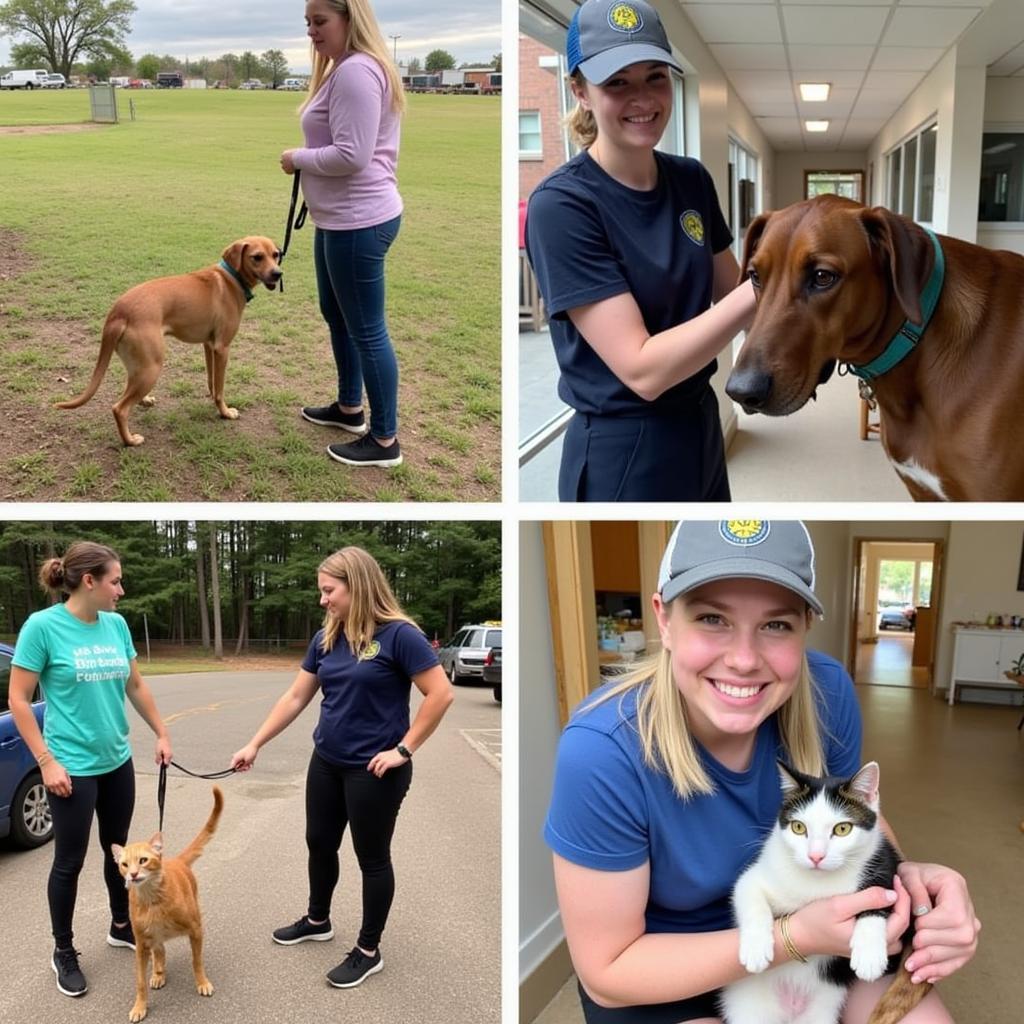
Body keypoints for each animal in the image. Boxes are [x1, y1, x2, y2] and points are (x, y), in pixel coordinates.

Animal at [58, 241, 282, 450]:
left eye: (276, 255)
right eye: (257, 257)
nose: (278, 273)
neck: (231, 278)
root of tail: (118, 312)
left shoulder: (209, 346)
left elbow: (212, 381)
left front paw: (213, 401)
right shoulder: (222, 348)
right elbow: (220, 389)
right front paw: (225, 412)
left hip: (140, 365)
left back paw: (144, 400)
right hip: (152, 366)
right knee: (120, 408)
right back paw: (130, 440)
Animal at [111, 786, 223, 1019]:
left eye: (143, 860)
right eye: (124, 864)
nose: (133, 875)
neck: (153, 900)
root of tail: (176, 860)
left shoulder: (196, 929)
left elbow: (197, 961)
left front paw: (202, 982)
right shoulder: (141, 944)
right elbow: (140, 981)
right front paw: (140, 1006)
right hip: (153, 937)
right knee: (160, 951)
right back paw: (158, 973)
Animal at [716, 765, 917, 1024]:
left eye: (842, 829)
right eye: (798, 827)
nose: (815, 856)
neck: (819, 881)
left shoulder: (886, 865)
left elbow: (876, 901)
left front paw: (869, 956)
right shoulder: (753, 878)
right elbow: (751, 898)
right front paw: (756, 949)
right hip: (747, 1009)